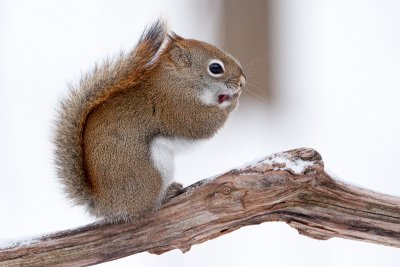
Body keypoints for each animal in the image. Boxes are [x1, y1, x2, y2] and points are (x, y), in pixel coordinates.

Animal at [53, 19, 245, 223]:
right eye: (215, 68)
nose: (242, 82)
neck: (178, 81)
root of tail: (106, 204)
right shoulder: (177, 108)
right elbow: (202, 125)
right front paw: (233, 103)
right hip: (150, 172)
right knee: (146, 208)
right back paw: (166, 194)